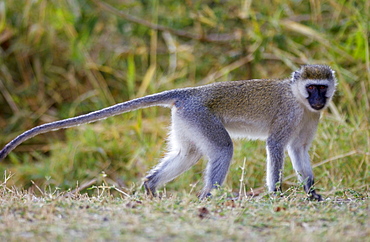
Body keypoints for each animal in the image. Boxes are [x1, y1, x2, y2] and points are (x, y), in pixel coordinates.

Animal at [0, 64, 336, 200]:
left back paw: (151, 188)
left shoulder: (310, 119)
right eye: (311, 88)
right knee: (223, 149)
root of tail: (190, 93)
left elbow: (299, 150)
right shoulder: (289, 115)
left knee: (188, 153)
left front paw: (311, 192)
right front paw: (275, 192)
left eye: (322, 88)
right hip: (200, 115)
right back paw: (208, 197)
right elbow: (277, 146)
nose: (319, 101)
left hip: (187, 120)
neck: (299, 100)